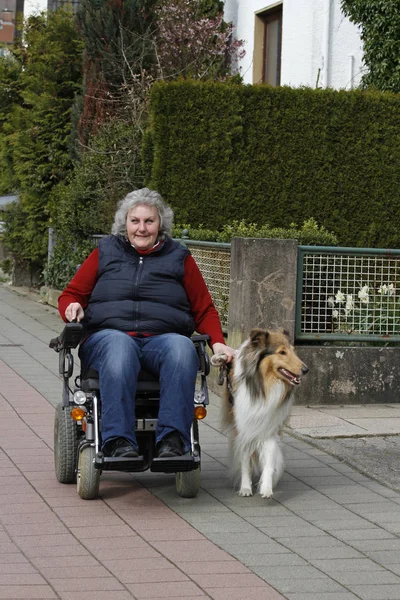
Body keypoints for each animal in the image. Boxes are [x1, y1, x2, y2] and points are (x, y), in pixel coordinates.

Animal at [211, 328, 308, 496]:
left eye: (293, 350)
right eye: (282, 352)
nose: (306, 369)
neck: (264, 386)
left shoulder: (270, 428)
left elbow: (269, 461)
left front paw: (267, 488)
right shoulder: (244, 428)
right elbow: (245, 462)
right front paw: (245, 487)